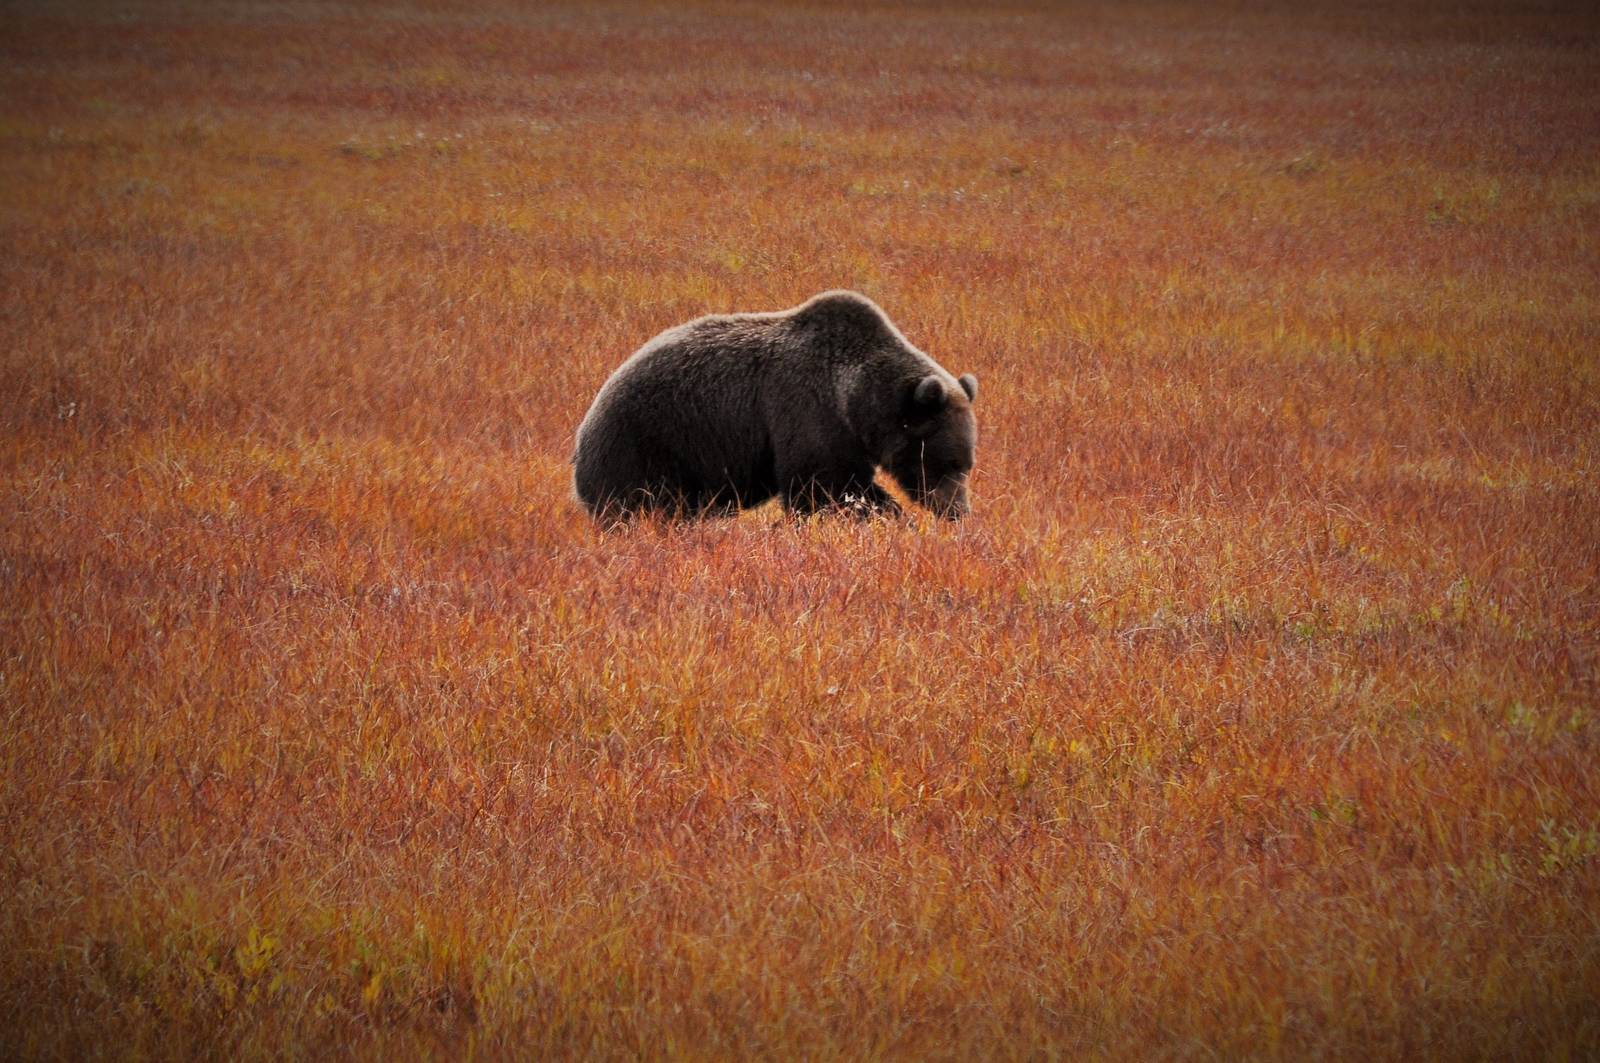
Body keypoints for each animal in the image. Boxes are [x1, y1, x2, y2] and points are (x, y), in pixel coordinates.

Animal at [572, 290, 978, 523]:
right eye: (948, 463)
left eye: (966, 464)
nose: (958, 512)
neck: (856, 399)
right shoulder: (808, 409)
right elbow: (822, 486)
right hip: (647, 444)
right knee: (642, 504)